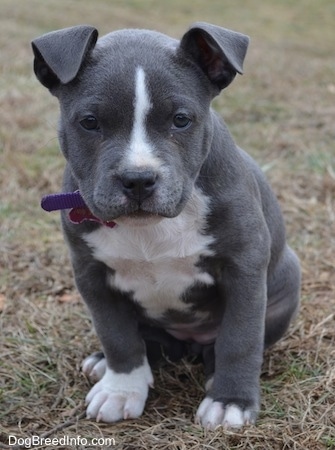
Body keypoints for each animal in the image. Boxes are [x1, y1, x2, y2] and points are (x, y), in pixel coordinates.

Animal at [31, 22, 300, 428]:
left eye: (181, 120)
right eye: (90, 122)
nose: (138, 179)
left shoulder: (244, 266)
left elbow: (240, 338)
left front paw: (231, 401)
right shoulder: (91, 274)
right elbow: (117, 335)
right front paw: (121, 389)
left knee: (229, 343)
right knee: (148, 341)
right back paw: (106, 362)